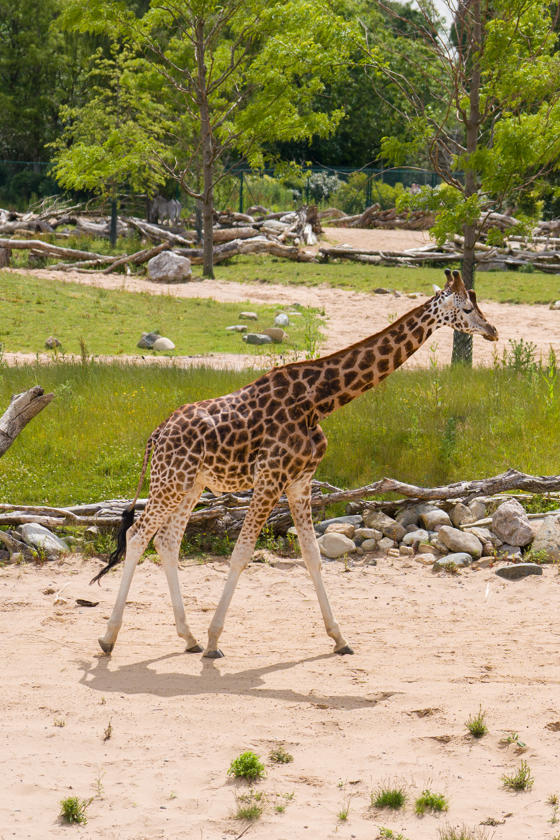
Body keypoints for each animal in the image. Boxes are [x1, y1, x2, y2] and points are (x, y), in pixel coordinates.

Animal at [92, 269, 498, 658]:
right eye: (466, 308)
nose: (492, 330)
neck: (319, 401)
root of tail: (156, 434)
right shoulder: (270, 479)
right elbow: (241, 554)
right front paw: (213, 641)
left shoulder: (300, 482)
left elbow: (312, 556)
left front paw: (340, 639)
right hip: (170, 482)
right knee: (137, 534)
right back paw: (110, 639)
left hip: (191, 485)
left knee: (167, 541)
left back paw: (186, 637)